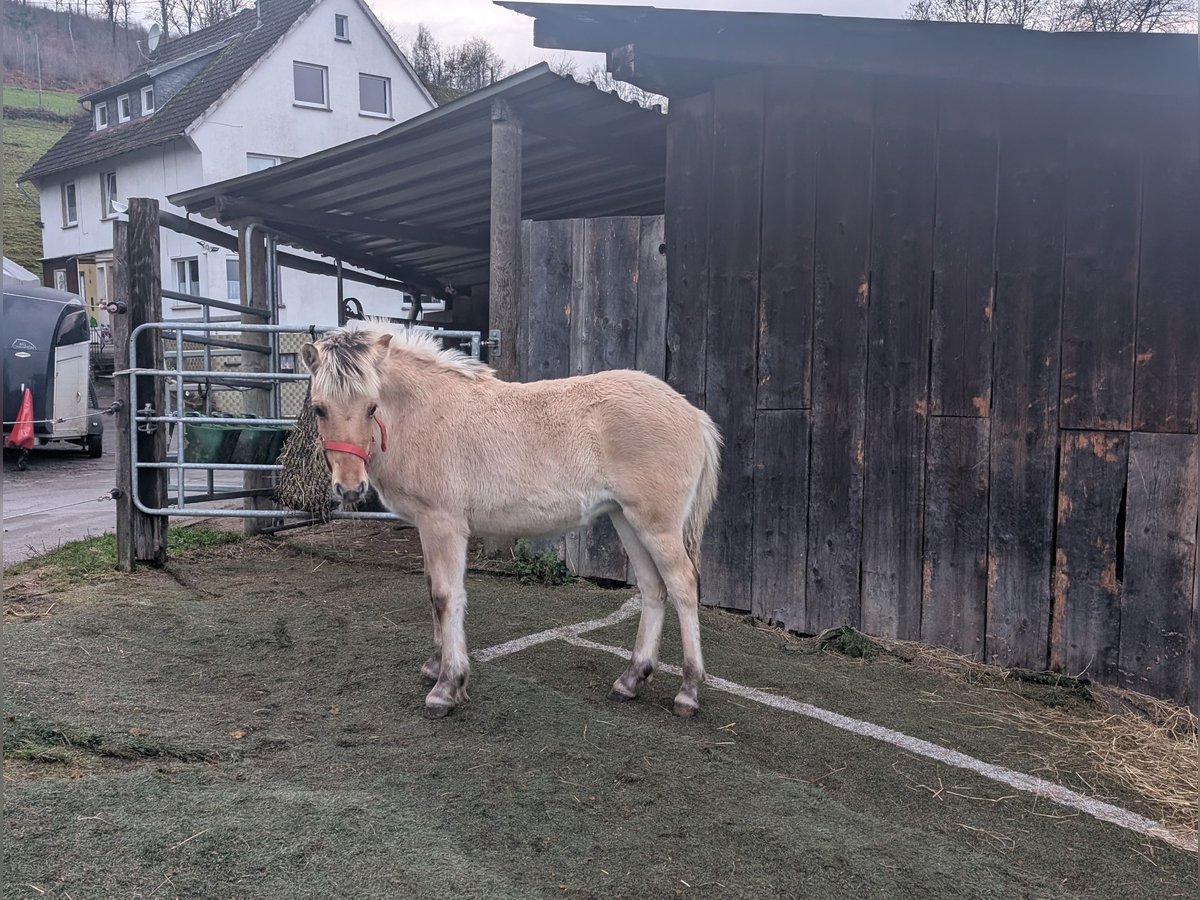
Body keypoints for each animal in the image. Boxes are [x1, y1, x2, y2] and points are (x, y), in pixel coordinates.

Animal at [300, 325, 722, 718]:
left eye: (372, 407)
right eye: (320, 409)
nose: (350, 488)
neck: (424, 413)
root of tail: (693, 415)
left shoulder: (443, 523)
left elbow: (446, 595)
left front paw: (446, 686)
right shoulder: (425, 526)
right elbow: (431, 589)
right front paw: (434, 666)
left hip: (657, 526)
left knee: (683, 586)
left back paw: (688, 691)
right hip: (626, 519)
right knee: (653, 589)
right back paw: (630, 680)